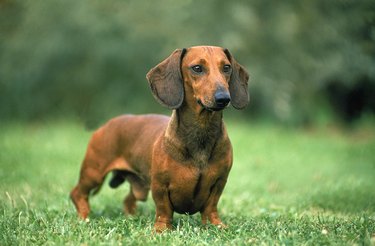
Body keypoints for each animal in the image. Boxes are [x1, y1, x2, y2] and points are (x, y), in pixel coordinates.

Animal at [71, 46, 250, 233]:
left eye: (226, 67)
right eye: (197, 68)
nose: (224, 98)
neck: (201, 133)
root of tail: (105, 125)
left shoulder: (219, 182)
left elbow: (211, 206)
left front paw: (216, 225)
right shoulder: (160, 185)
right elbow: (164, 208)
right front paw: (162, 229)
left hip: (138, 187)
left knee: (128, 200)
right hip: (93, 173)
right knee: (77, 193)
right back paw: (84, 217)